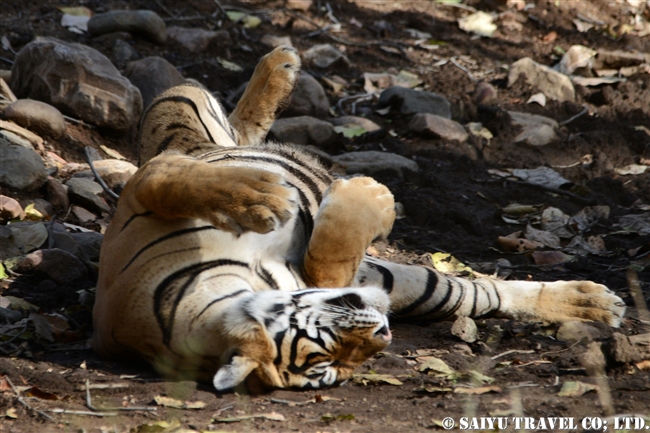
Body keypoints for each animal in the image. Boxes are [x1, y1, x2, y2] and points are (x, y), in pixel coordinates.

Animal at [91, 46, 624, 392]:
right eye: (330, 363)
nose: (384, 335)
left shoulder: (143, 188)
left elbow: (177, 182)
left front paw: (268, 198)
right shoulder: (328, 278)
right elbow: (328, 259)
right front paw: (371, 197)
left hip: (179, 106)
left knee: (233, 133)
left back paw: (280, 67)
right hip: (419, 285)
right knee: (483, 292)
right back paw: (589, 303)